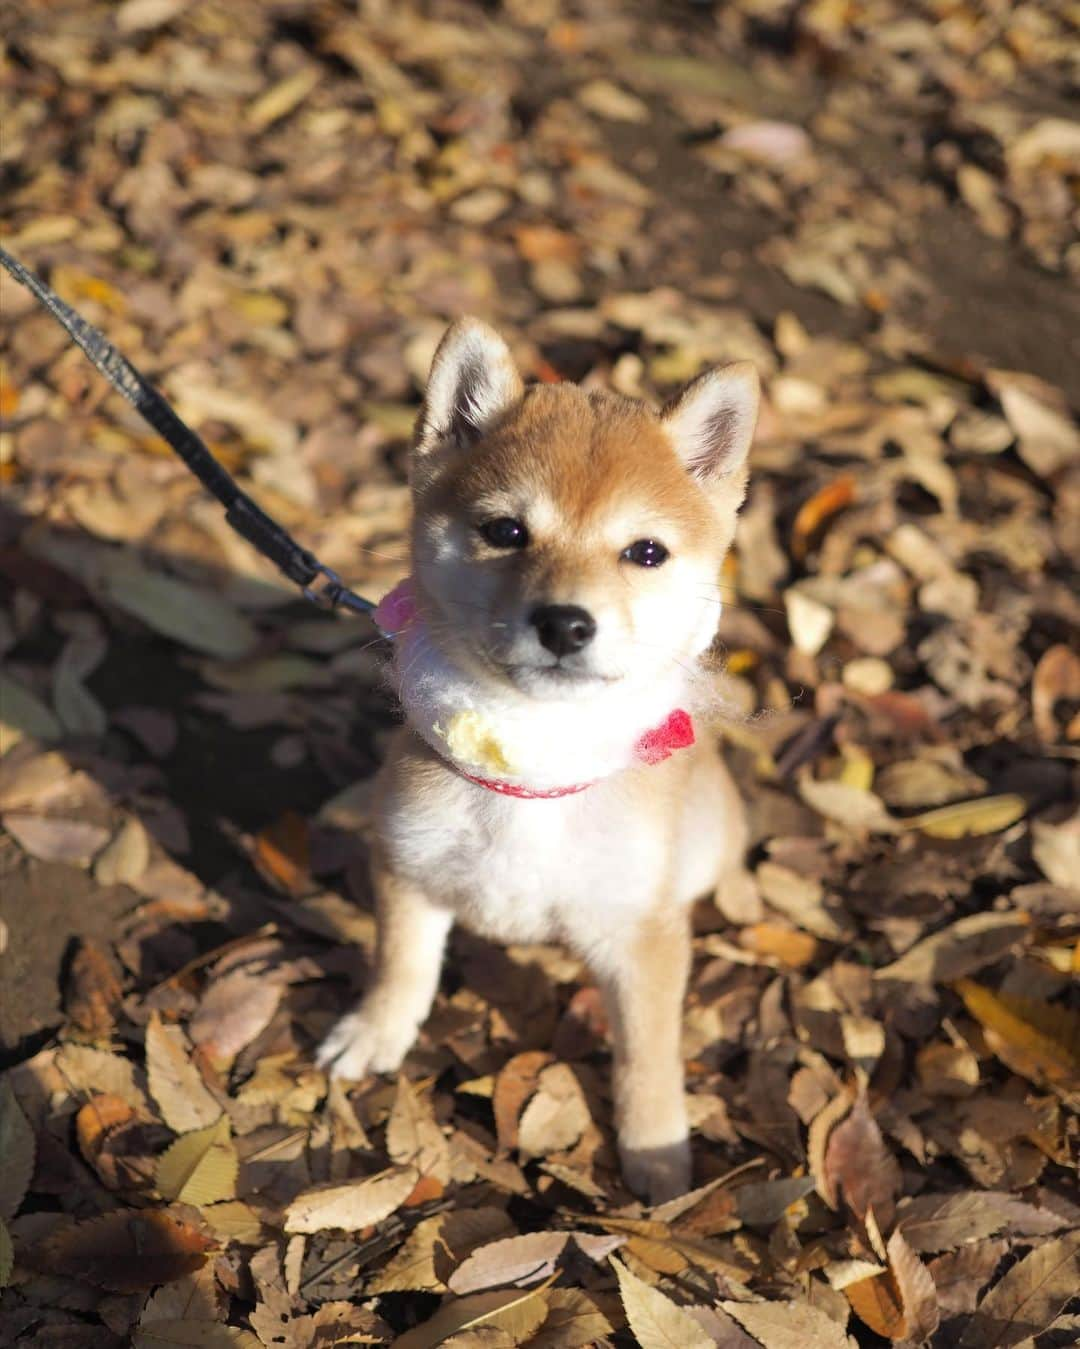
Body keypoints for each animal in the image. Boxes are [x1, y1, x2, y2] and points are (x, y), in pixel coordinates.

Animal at [318, 321, 760, 1208]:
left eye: (646, 551)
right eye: (506, 531)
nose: (564, 622)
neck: (533, 766)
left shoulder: (643, 935)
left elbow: (648, 1054)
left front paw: (657, 1150)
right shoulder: (409, 869)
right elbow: (402, 965)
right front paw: (377, 1031)